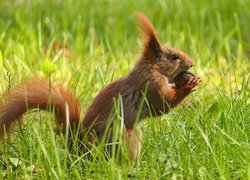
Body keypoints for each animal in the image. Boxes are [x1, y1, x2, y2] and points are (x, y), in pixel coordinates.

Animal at [0, 13, 201, 162]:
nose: (191, 63)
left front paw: (184, 81)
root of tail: (80, 150)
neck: (151, 68)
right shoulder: (150, 86)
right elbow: (162, 105)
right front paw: (188, 86)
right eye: (175, 57)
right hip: (124, 136)